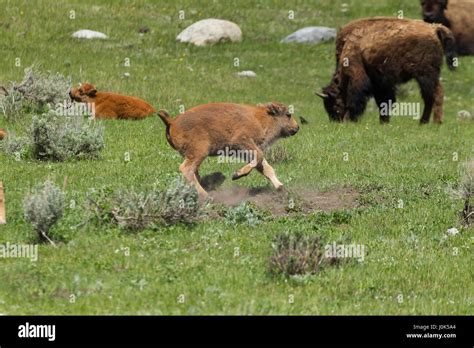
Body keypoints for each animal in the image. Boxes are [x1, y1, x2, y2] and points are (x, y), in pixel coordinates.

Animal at [158, 102, 300, 198]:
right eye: (288, 115)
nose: (297, 127)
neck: (260, 118)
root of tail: (172, 122)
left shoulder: (247, 151)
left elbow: (265, 167)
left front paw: (281, 187)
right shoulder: (242, 141)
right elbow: (259, 158)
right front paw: (236, 175)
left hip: (191, 155)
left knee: (194, 172)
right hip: (199, 152)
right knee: (186, 169)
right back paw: (205, 195)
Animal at [316, 17, 458, 124]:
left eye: (334, 104)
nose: (336, 121)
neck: (349, 44)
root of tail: (434, 28)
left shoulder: (357, 75)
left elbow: (356, 98)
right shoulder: (380, 84)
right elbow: (384, 102)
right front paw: (384, 121)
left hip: (425, 76)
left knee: (431, 96)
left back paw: (425, 122)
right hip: (431, 75)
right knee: (437, 92)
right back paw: (434, 121)